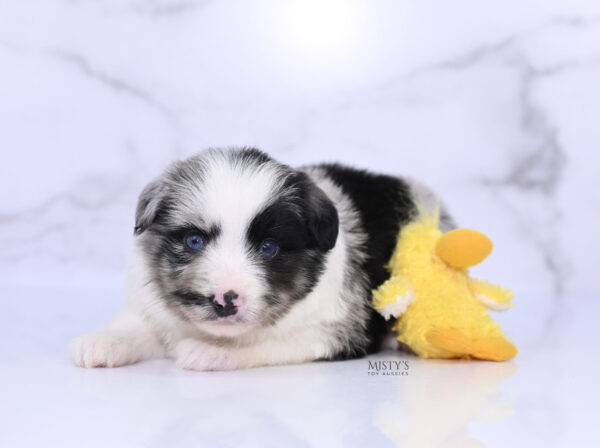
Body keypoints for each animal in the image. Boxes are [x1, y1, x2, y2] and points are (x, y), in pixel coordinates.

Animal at [69, 149, 450, 370]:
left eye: (269, 248)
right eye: (194, 241)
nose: (225, 300)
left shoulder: (331, 330)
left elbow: (263, 342)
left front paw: (209, 352)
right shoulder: (152, 307)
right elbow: (137, 326)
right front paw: (103, 342)